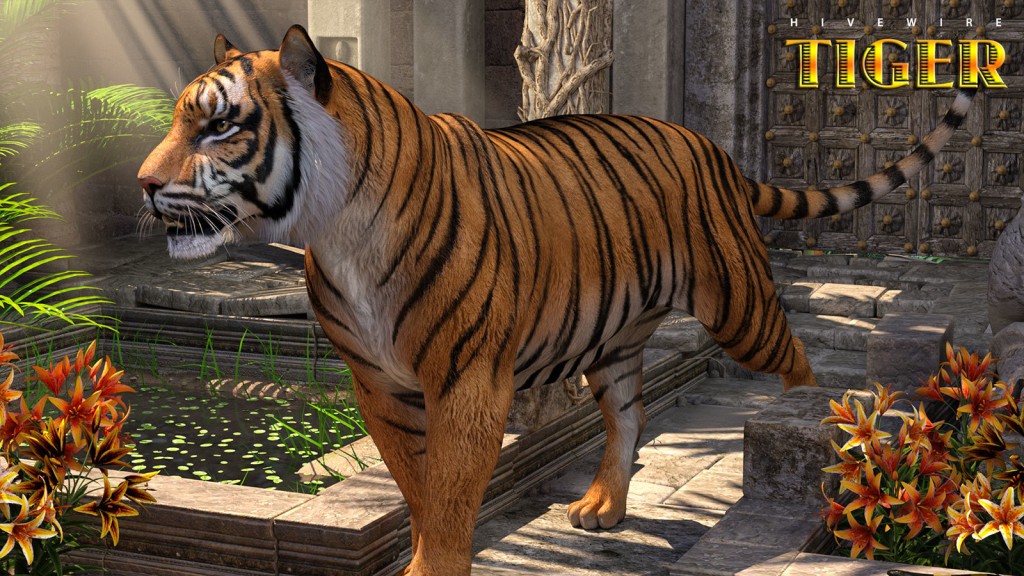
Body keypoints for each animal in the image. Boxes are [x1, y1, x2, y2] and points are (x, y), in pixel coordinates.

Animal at [137, 25, 975, 575]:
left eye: (219, 126)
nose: (142, 185)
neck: (335, 226)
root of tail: (712, 146)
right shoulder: (378, 385)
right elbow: (415, 487)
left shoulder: (468, 383)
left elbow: (449, 492)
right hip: (614, 338)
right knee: (629, 415)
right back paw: (604, 506)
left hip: (738, 305)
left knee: (795, 364)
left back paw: (834, 446)